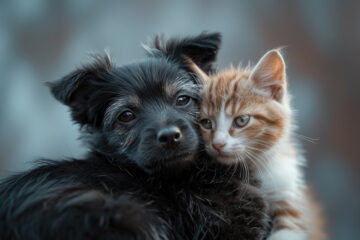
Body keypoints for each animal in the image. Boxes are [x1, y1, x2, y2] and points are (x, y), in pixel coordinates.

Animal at [195, 49, 324, 239]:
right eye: (206, 123)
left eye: (241, 120)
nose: (217, 144)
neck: (254, 167)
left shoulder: (289, 194)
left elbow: (288, 230)